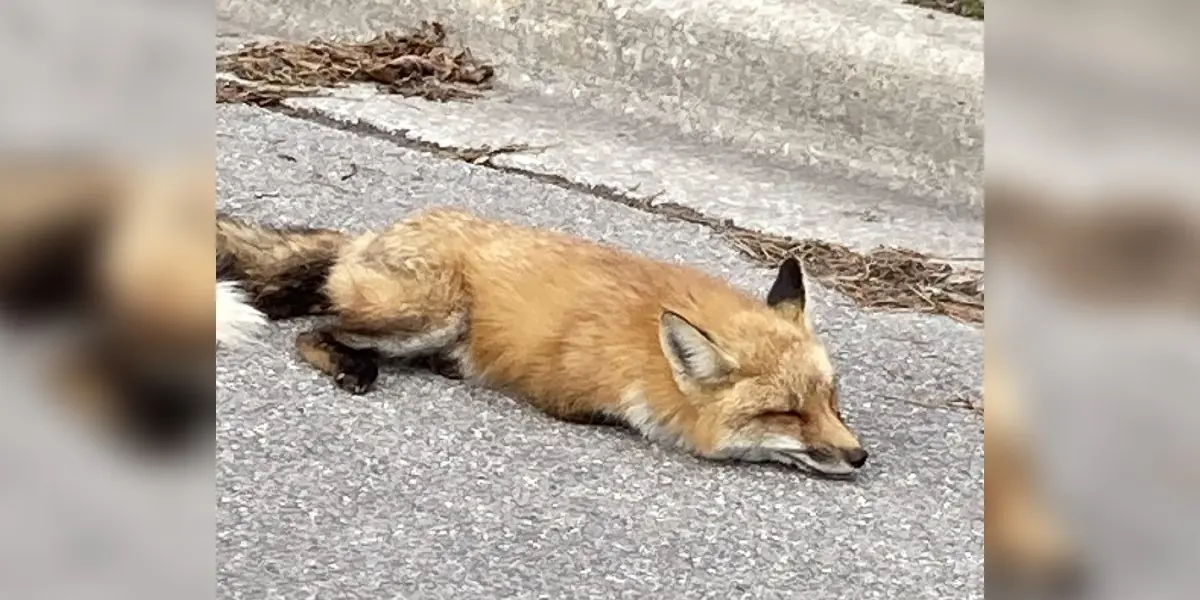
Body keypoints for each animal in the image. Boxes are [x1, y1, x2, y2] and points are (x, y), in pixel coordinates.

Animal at [218, 207, 873, 477]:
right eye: (785, 414)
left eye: (831, 401)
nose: (859, 456)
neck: (647, 354)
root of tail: (369, 234)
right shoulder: (569, 399)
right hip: (434, 313)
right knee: (316, 330)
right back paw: (351, 364)